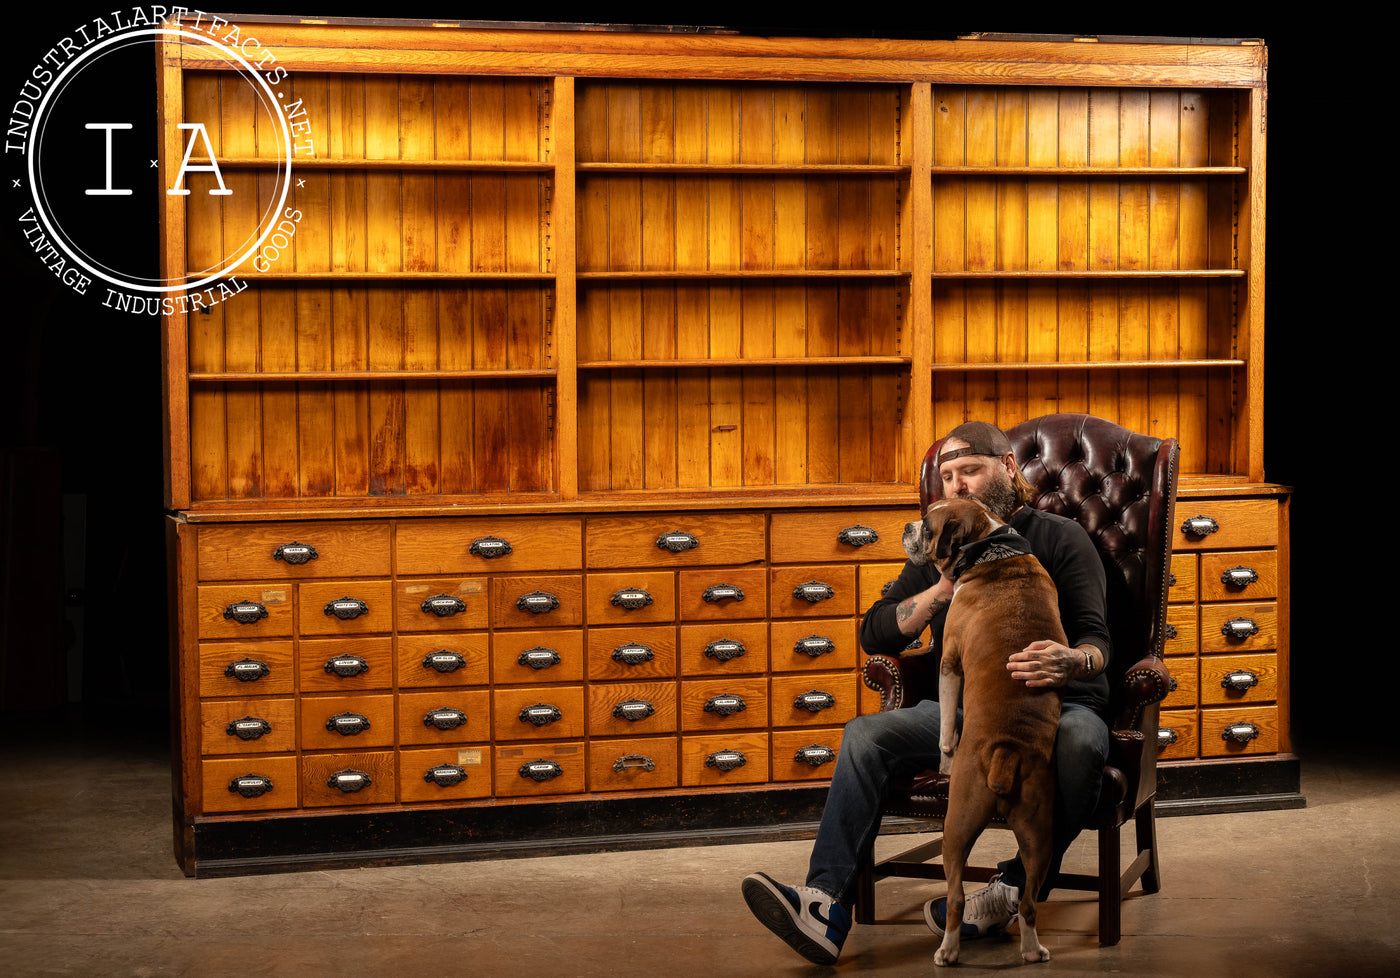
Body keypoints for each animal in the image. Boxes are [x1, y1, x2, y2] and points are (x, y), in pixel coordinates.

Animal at [901, 500, 1064, 968]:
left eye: (928, 526)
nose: (907, 526)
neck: (991, 550)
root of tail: (1006, 750)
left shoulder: (949, 662)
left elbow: (945, 728)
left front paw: (943, 759)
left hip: (955, 825)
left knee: (955, 896)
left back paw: (948, 950)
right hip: (1038, 832)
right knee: (1028, 901)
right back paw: (1032, 949)